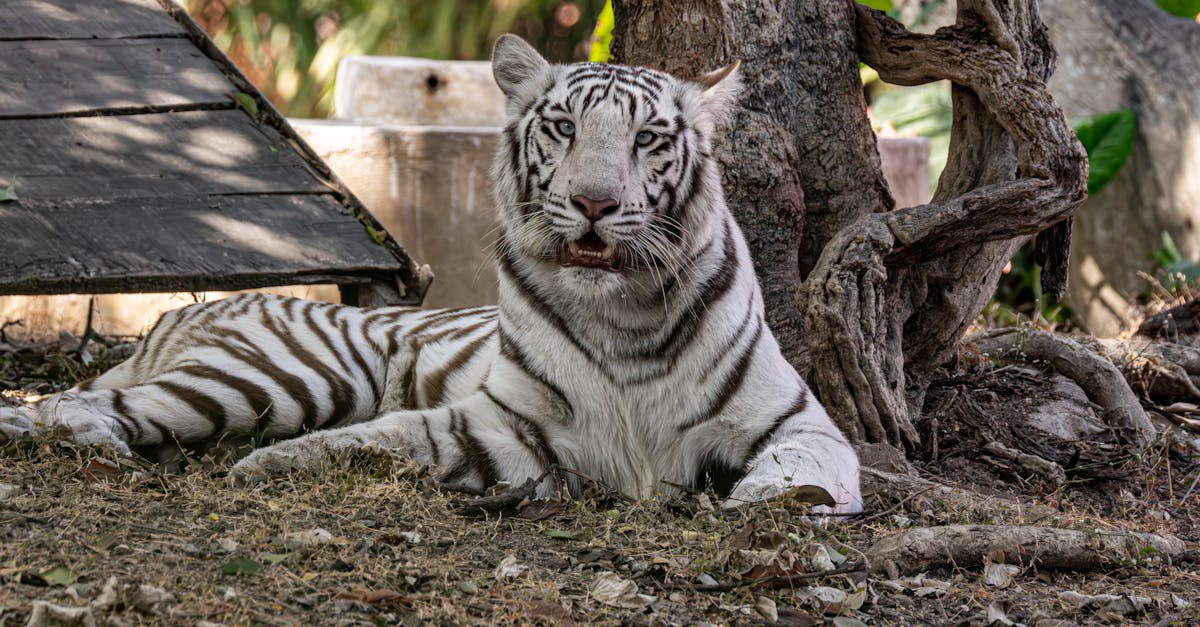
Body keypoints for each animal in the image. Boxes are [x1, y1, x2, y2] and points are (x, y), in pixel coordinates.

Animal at [0, 35, 862, 512]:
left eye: (648, 138)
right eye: (563, 126)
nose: (594, 202)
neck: (623, 319)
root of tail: (179, 313)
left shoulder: (800, 421)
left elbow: (807, 466)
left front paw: (768, 499)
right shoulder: (505, 423)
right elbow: (387, 432)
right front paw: (268, 465)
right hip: (283, 375)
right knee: (80, 405)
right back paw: (84, 437)